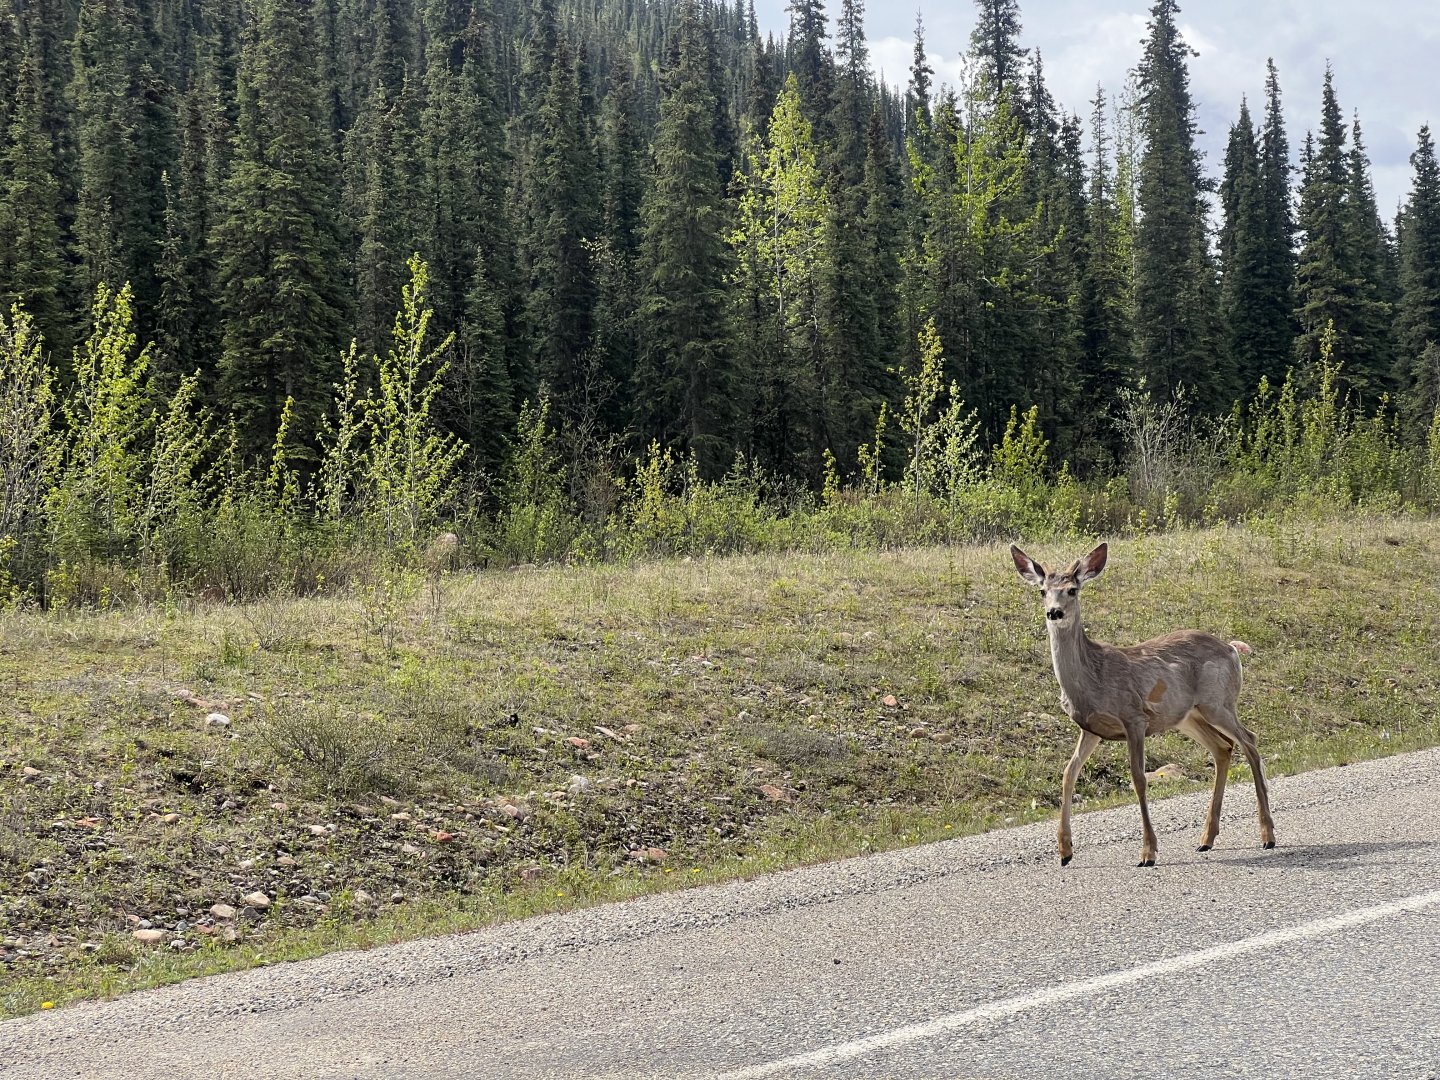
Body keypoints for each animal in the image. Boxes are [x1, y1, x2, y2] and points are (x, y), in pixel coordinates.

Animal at [1009, 542, 1276, 867]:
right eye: (1042, 590)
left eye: (1072, 589)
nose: (1054, 612)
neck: (1093, 677)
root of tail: (1232, 648)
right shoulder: (1091, 728)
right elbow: (1068, 773)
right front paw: (1064, 851)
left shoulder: (1134, 717)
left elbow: (1138, 778)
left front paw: (1148, 852)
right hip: (1188, 716)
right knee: (1223, 747)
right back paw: (1206, 839)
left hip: (1219, 702)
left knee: (1250, 741)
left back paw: (1267, 835)